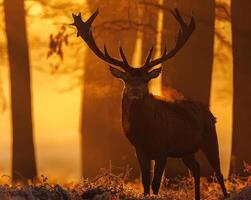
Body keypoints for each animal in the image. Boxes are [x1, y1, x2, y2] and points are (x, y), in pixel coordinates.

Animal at [70, 8, 229, 199]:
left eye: (146, 79)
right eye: (126, 79)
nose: (135, 91)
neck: (146, 132)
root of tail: (209, 113)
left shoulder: (163, 150)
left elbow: (155, 184)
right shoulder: (140, 150)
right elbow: (145, 183)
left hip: (210, 137)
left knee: (218, 172)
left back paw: (226, 194)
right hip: (185, 150)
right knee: (196, 168)